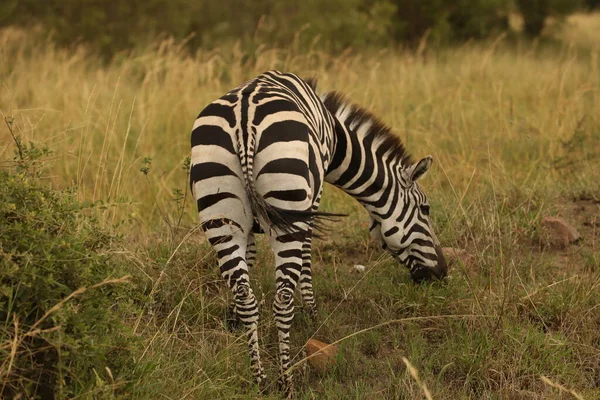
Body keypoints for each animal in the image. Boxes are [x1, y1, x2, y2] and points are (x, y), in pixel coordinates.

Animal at [190, 71, 448, 394]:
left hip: (220, 214)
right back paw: (285, 381)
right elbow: (307, 253)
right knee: (282, 299)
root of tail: (244, 119)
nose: (443, 272)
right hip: (286, 202)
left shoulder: (247, 225)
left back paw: (259, 379)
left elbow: (247, 262)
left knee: (246, 295)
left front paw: (235, 323)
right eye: (425, 209)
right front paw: (312, 310)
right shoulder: (313, 197)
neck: (336, 137)